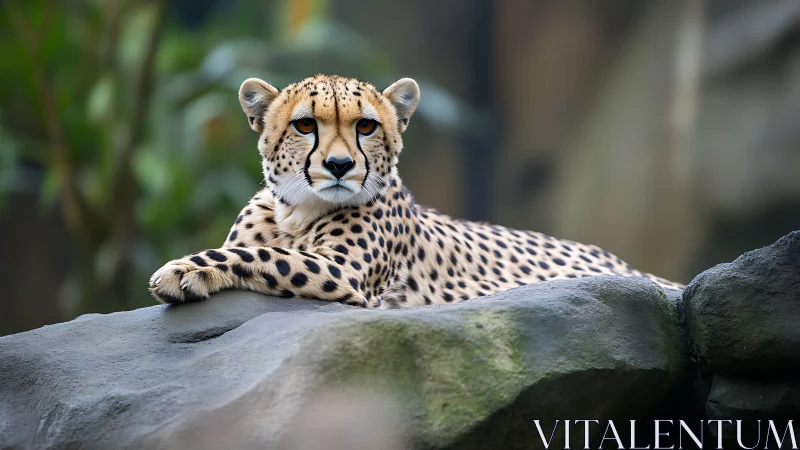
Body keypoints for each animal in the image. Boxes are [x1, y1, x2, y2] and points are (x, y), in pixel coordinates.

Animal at [149, 74, 683, 308]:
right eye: (304, 125)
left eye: (366, 126)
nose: (339, 165)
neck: (296, 212)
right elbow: (255, 250)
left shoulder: (346, 272)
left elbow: (260, 256)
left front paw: (181, 270)